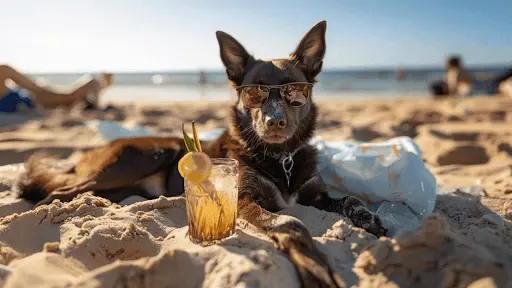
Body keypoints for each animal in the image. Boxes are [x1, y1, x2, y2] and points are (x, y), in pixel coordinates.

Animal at [15, 19, 384, 286]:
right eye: (254, 92)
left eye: (295, 91)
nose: (275, 121)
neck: (281, 158)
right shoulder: (245, 199)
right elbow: (291, 222)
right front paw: (316, 269)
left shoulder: (313, 191)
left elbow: (350, 199)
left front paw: (368, 217)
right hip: (143, 156)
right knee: (56, 192)